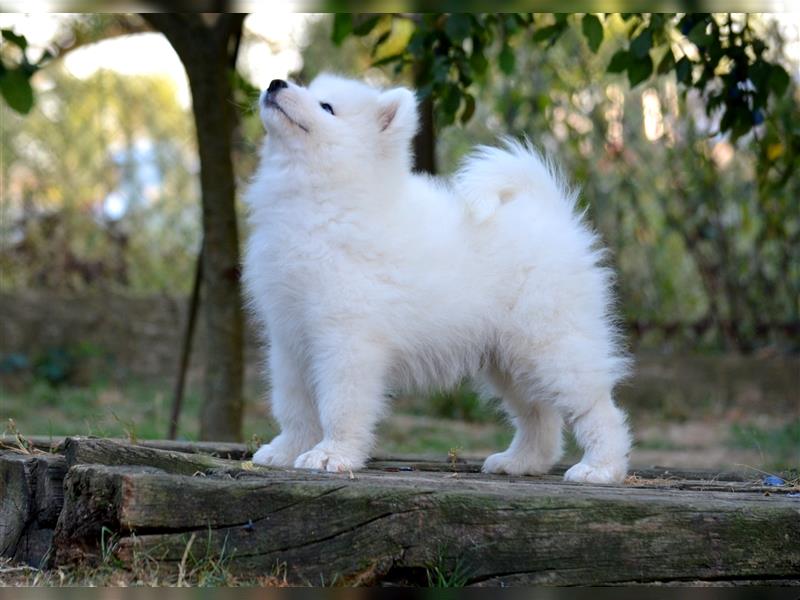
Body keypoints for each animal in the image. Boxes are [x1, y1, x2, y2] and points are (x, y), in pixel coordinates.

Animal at [244, 74, 632, 482]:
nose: (275, 83)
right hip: (509, 358)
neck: (322, 201)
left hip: (552, 343)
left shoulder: (345, 340)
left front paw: (331, 455)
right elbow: (293, 404)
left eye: (327, 107)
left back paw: (600, 467)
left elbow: (339, 404)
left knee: (596, 407)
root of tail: (550, 212)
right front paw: (287, 449)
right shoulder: (289, 338)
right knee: (538, 414)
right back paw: (521, 461)